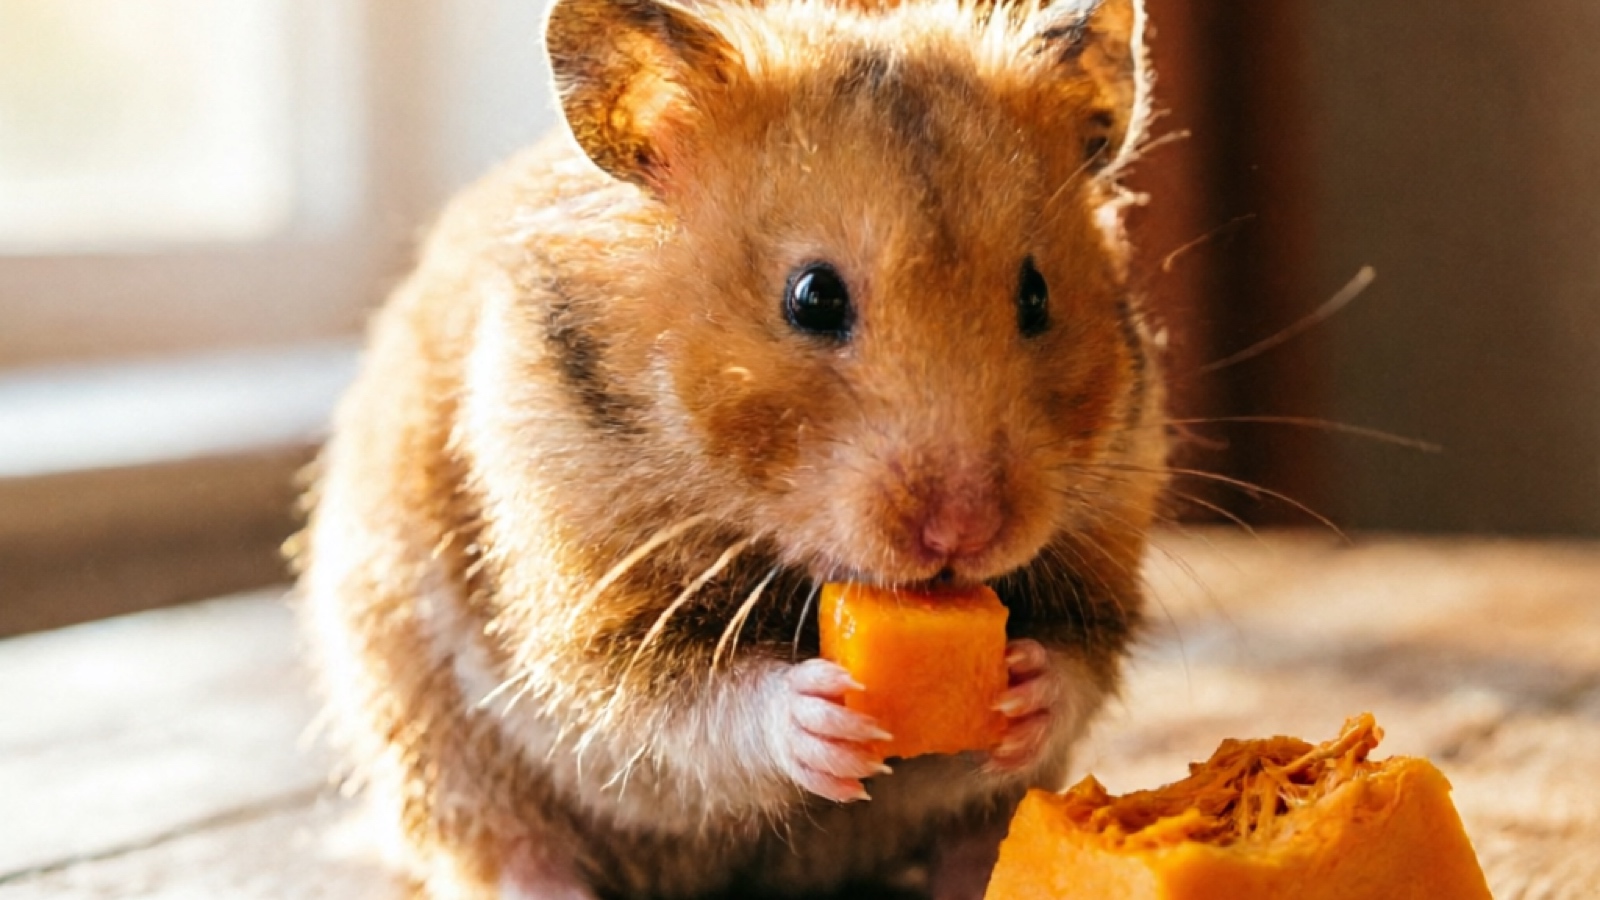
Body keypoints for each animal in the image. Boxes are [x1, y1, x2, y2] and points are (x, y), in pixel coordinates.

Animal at [295, 0, 1167, 897]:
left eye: (1036, 295)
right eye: (813, 297)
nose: (965, 532)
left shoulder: (1110, 532)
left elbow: (1080, 658)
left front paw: (1024, 687)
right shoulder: (588, 609)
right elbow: (682, 705)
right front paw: (817, 715)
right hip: (426, 730)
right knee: (502, 849)